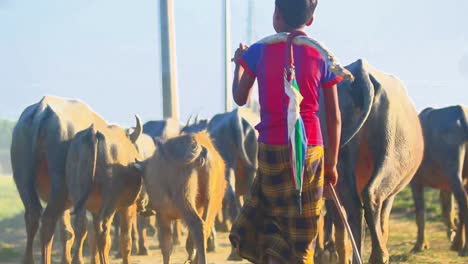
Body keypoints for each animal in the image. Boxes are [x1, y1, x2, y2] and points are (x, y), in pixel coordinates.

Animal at [140, 132, 226, 264]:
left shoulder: (162, 215)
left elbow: (166, 246)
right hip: (209, 206)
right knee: (204, 230)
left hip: (185, 201)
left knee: (197, 226)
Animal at [320, 59, 426, 264]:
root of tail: (361, 74)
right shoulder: (391, 195)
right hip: (390, 160)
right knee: (370, 198)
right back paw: (379, 255)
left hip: (340, 167)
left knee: (353, 210)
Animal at [412, 105, 466, 256]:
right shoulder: (446, 186)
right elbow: (447, 210)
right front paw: (452, 233)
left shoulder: (415, 182)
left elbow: (420, 213)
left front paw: (419, 245)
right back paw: (458, 244)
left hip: (454, 173)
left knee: (463, 202)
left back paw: (462, 247)